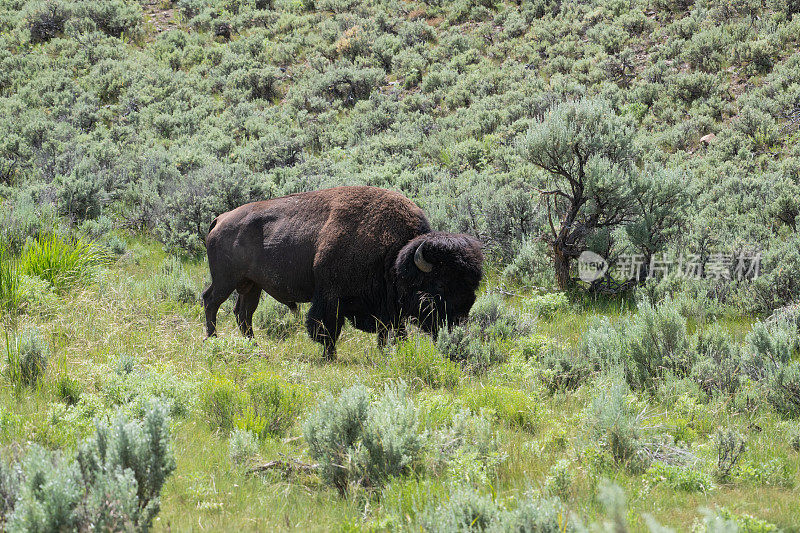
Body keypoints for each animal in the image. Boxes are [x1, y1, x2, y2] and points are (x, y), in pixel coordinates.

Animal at [203, 186, 484, 358]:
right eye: (440, 285)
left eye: (471, 286)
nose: (458, 323)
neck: (392, 256)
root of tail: (220, 219)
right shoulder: (330, 297)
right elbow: (327, 329)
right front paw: (330, 357)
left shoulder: (387, 307)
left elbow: (390, 331)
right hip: (226, 280)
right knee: (211, 302)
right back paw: (214, 341)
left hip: (251, 285)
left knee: (243, 314)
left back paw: (254, 347)